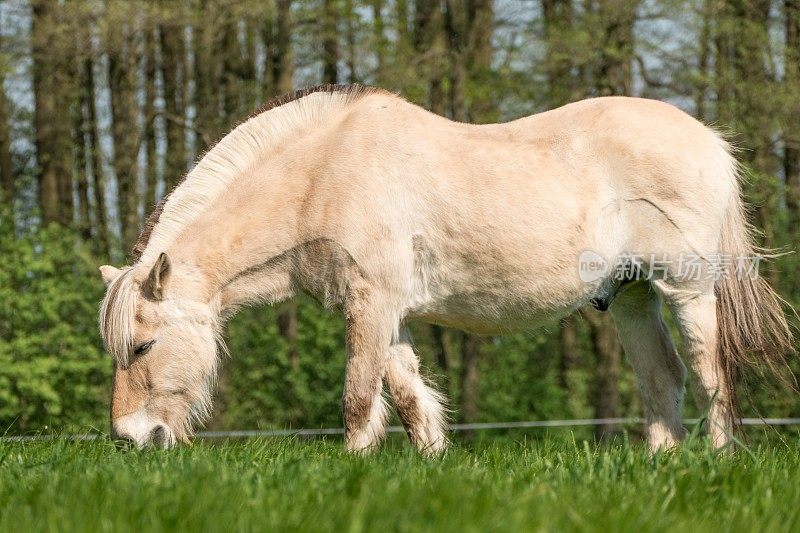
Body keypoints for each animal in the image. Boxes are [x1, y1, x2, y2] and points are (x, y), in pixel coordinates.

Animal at [97, 83, 792, 454]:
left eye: (144, 344)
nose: (131, 437)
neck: (322, 174)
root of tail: (709, 140)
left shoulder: (371, 303)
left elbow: (358, 400)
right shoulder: (386, 312)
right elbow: (410, 400)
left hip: (687, 289)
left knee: (710, 373)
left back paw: (718, 459)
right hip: (630, 297)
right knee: (662, 378)